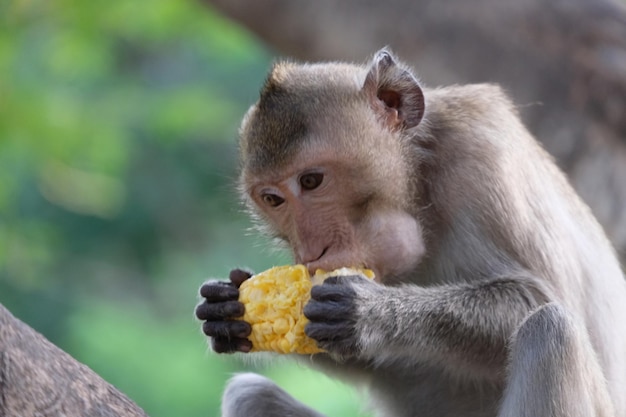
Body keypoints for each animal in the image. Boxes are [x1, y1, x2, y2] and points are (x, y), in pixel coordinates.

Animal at [194, 49, 624, 416]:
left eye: (311, 181)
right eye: (273, 199)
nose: (312, 252)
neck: (420, 188)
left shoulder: (484, 161)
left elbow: (542, 296)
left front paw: (372, 312)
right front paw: (227, 305)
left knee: (551, 331)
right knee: (249, 394)